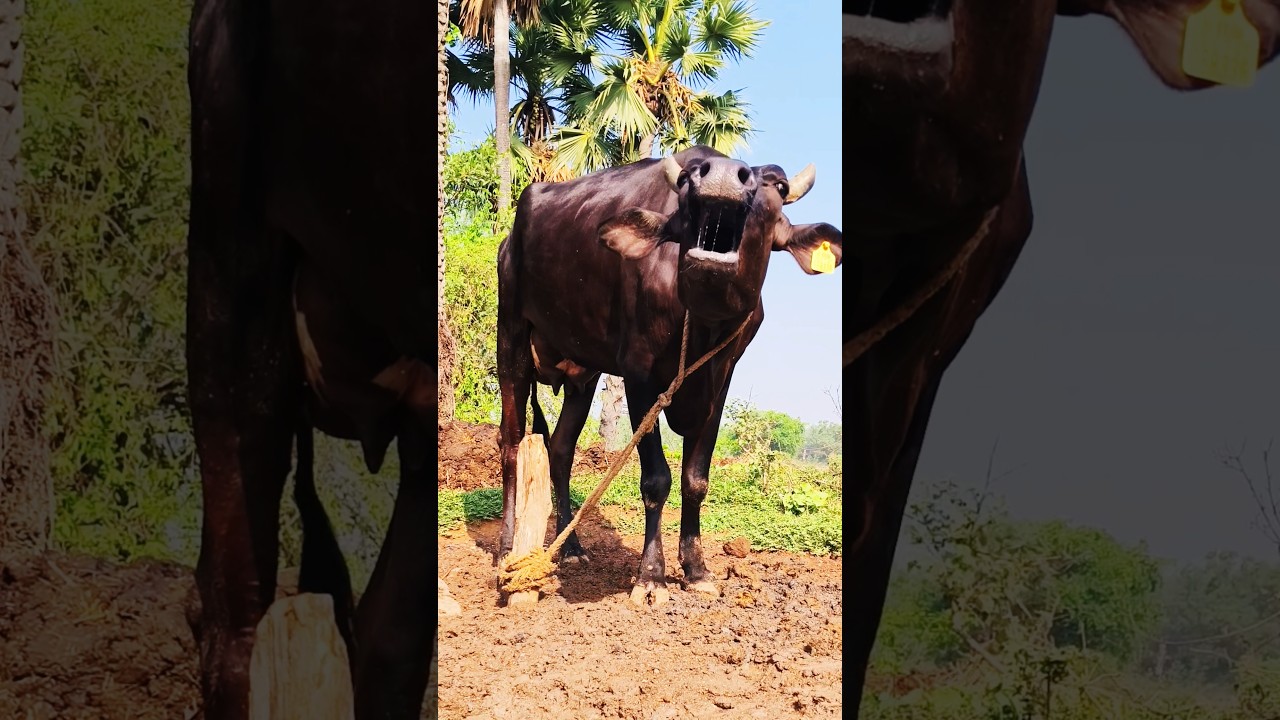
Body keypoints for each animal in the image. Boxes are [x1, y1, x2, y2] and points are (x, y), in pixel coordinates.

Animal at [496, 146, 842, 606]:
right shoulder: (638, 372)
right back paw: (506, 546)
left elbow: (696, 479)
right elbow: (656, 478)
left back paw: (570, 548)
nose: (724, 175)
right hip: (511, 338)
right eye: (684, 179)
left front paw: (697, 569)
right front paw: (651, 576)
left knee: (561, 450)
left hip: (581, 375)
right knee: (512, 443)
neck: (700, 324)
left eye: (779, 186)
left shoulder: (722, 375)